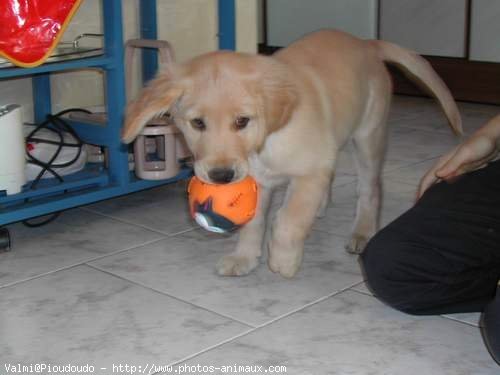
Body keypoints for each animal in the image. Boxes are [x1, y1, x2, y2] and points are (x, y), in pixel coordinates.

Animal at [122, 29, 460, 280]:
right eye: (197, 123)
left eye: (242, 121)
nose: (221, 176)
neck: (264, 143)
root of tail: (365, 43)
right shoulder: (258, 182)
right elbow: (253, 222)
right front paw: (243, 258)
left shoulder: (310, 170)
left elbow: (288, 219)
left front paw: (283, 260)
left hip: (368, 135)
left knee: (370, 188)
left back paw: (362, 231)